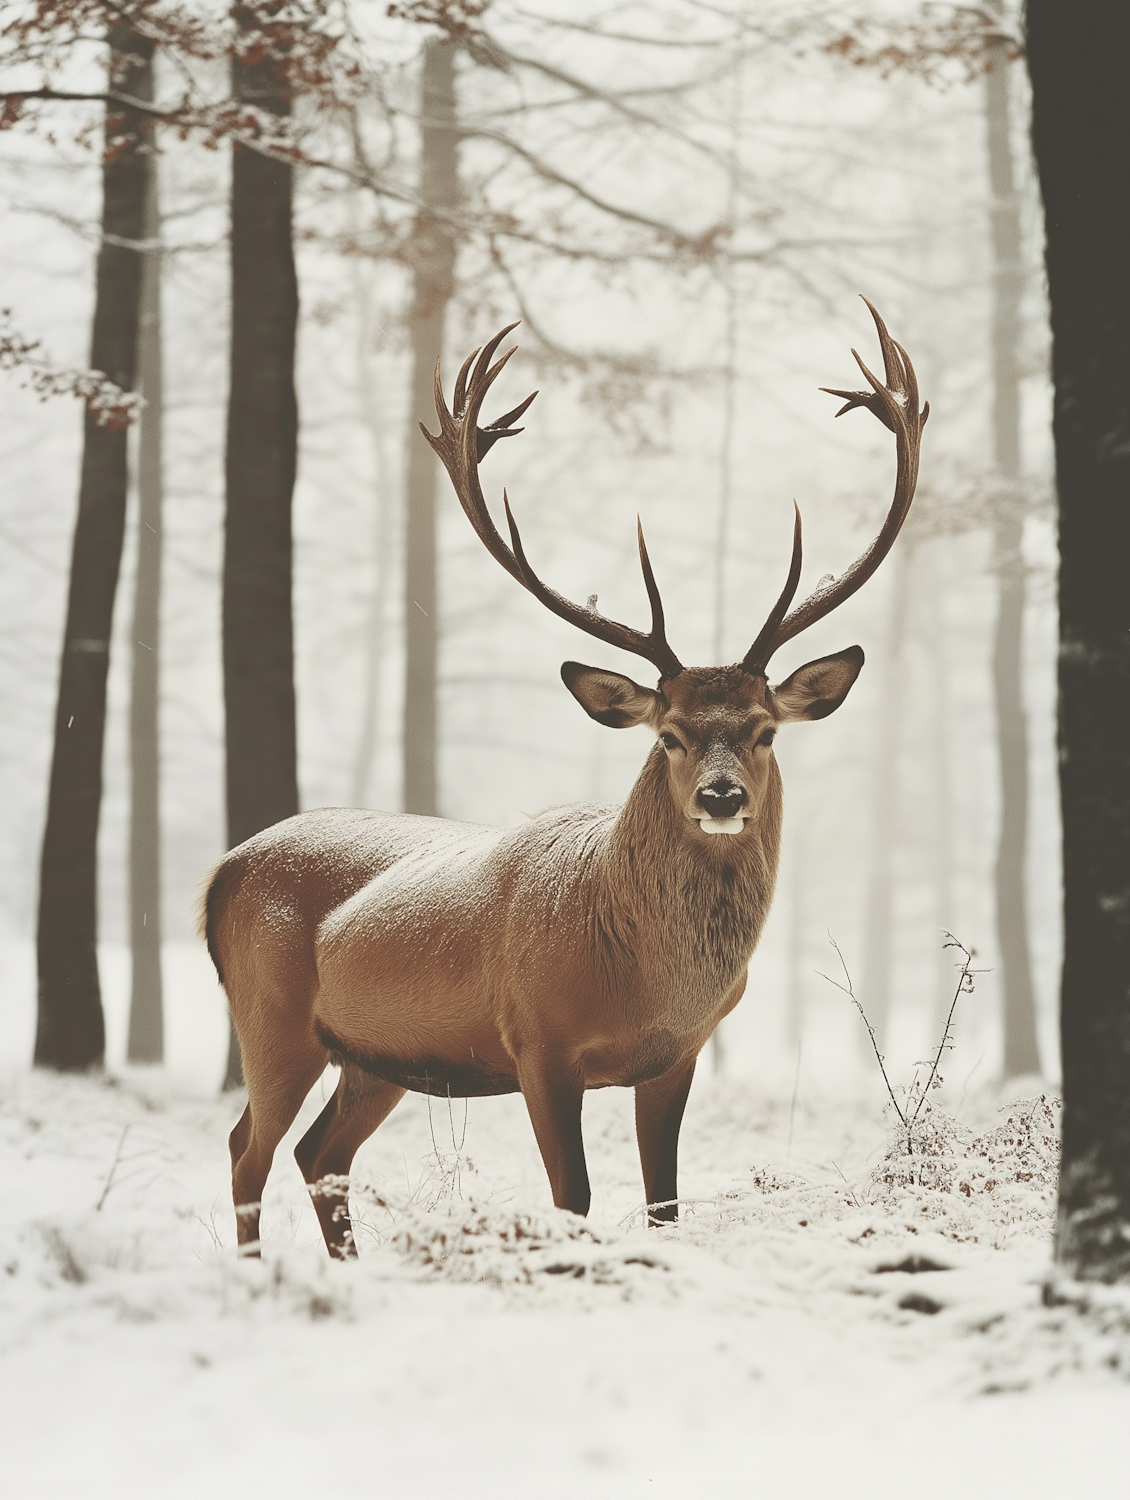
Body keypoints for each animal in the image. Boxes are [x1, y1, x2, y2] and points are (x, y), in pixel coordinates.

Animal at [203, 300, 927, 1259]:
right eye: (669, 735)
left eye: (766, 732)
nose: (722, 796)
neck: (641, 973)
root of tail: (220, 872)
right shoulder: (536, 1040)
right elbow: (572, 1196)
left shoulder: (680, 1054)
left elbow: (666, 1201)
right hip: (271, 1017)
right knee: (247, 1145)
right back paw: (259, 1272)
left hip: (373, 1054)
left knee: (320, 1152)